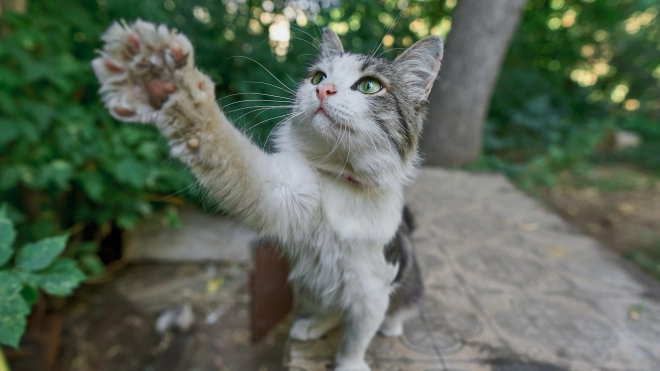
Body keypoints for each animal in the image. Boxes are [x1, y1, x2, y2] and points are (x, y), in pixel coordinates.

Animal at [91, 20, 444, 371]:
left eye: (369, 86)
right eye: (318, 78)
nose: (323, 90)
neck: (341, 181)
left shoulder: (372, 294)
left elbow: (354, 341)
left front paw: (349, 365)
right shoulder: (281, 193)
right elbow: (222, 145)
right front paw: (162, 80)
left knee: (393, 312)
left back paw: (389, 326)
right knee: (329, 311)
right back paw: (310, 326)